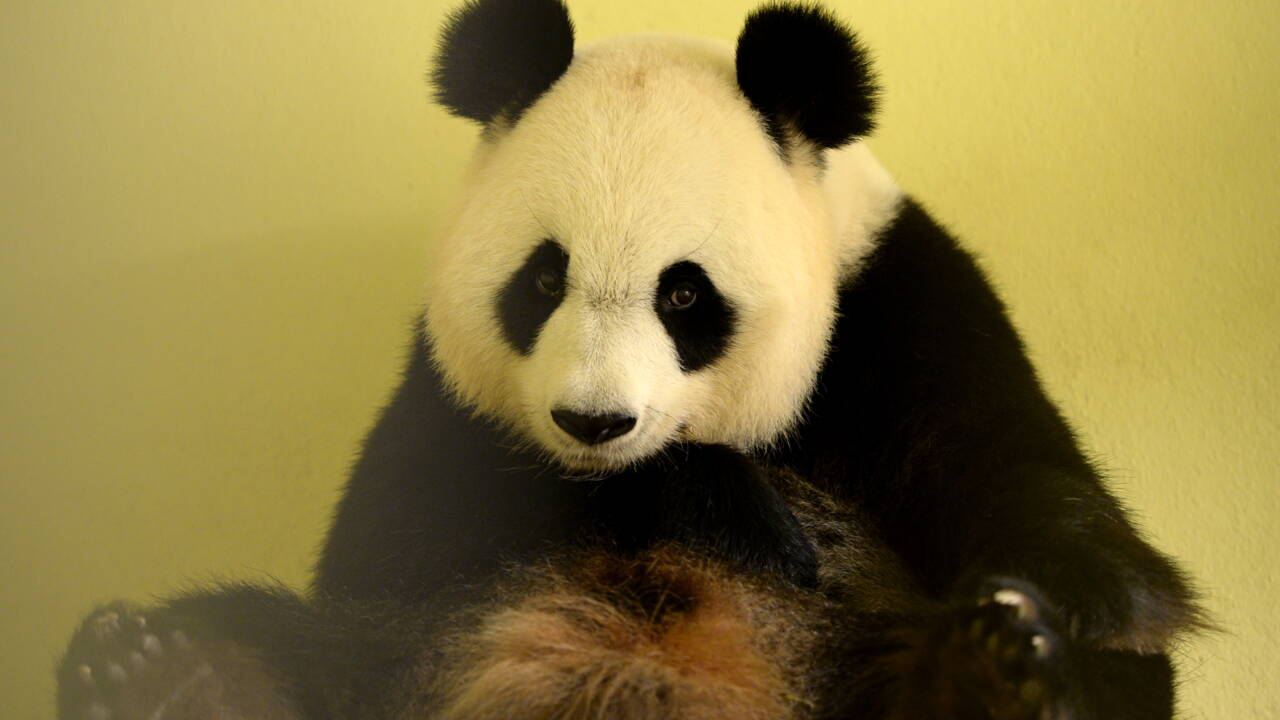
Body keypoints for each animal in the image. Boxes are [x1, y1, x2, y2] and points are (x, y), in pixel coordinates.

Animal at [55, 1, 1203, 717]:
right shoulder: (439, 398)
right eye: (540, 281)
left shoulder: (899, 303)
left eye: (684, 294)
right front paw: (732, 512)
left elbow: (1021, 477)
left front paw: (1077, 601)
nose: (594, 424)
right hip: (406, 663)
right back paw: (159, 675)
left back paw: (992, 673)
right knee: (282, 646)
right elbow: (396, 543)